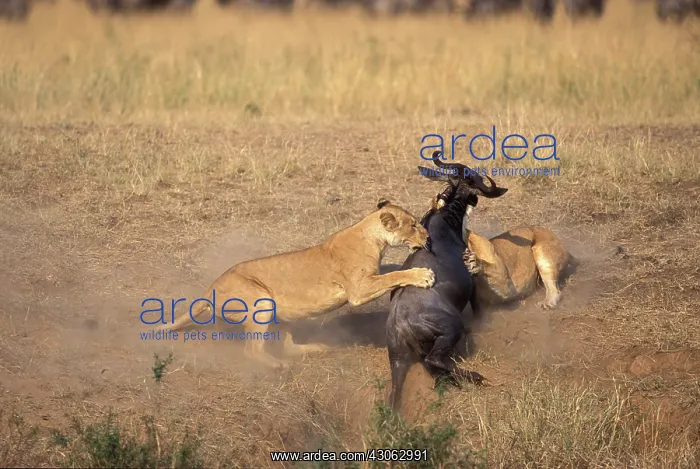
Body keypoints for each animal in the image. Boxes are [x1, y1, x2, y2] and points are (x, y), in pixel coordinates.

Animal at [156, 199, 436, 369]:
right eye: (413, 225)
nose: (428, 236)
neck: (371, 236)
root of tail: (210, 288)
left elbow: (389, 271)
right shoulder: (358, 290)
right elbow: (392, 276)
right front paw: (422, 275)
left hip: (281, 313)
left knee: (288, 346)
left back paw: (318, 348)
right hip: (261, 300)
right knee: (251, 350)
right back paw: (276, 365)